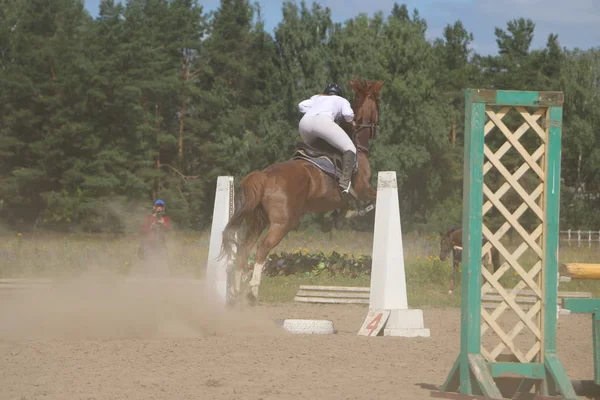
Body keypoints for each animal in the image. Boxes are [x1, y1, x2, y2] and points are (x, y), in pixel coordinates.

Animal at [220, 76, 384, 304]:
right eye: (377, 103)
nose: (378, 127)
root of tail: (265, 176)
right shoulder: (363, 189)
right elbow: (373, 198)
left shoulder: (342, 198)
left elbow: (344, 208)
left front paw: (335, 221)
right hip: (283, 223)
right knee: (262, 248)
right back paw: (252, 292)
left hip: (258, 220)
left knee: (244, 249)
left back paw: (236, 293)